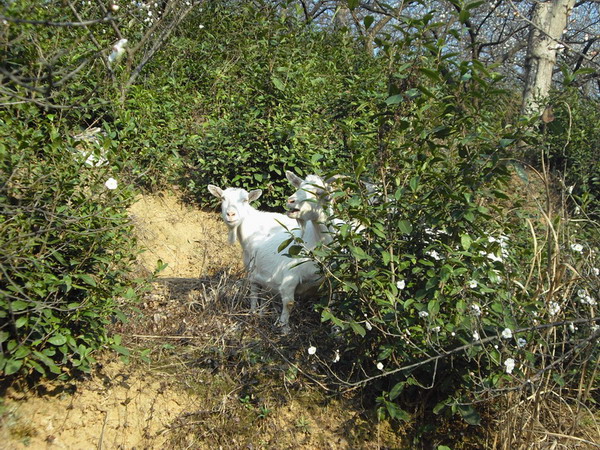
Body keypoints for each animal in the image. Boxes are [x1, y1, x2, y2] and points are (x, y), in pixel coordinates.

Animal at [209, 184, 324, 334]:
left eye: (245, 200)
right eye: (223, 198)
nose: (231, 214)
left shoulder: (254, 266)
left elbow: (255, 291)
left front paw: (254, 313)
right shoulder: (265, 270)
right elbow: (264, 292)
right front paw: (262, 313)